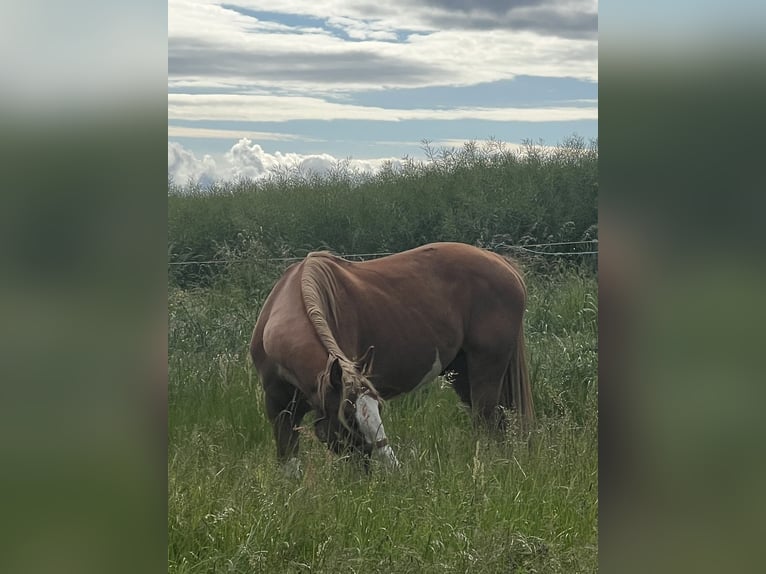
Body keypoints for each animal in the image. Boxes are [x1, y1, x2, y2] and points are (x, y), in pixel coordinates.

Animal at [249, 242, 534, 473]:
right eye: (348, 416)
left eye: (379, 408)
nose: (392, 468)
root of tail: (502, 263)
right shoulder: (280, 411)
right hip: (463, 374)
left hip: (486, 369)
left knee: (487, 423)